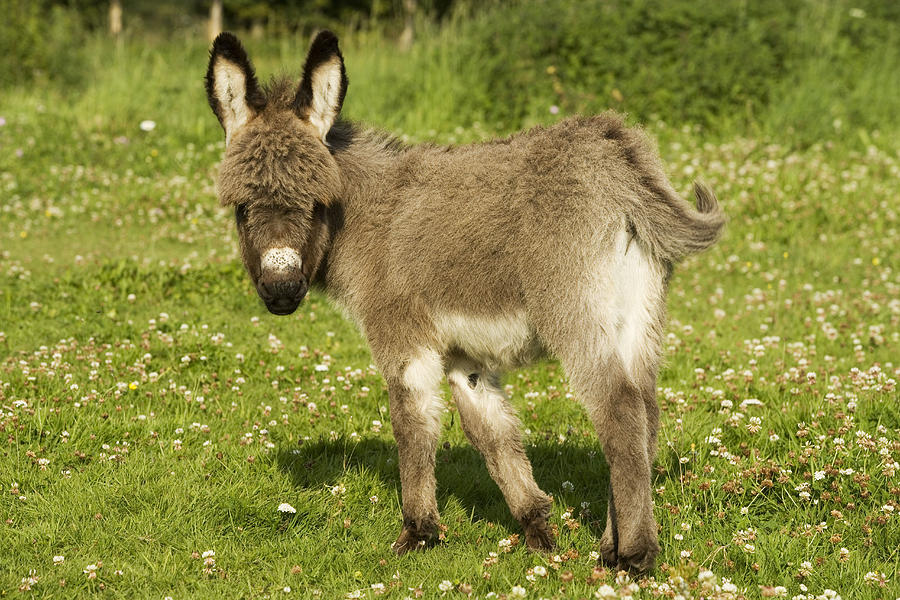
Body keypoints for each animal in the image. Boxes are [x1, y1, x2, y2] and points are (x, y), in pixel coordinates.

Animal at [204, 29, 724, 572]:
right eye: (241, 208)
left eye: (316, 203)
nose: (282, 291)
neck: (363, 220)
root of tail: (620, 164)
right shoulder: (463, 355)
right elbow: (491, 433)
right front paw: (537, 531)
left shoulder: (403, 338)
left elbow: (412, 425)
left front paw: (417, 534)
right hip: (637, 319)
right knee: (646, 412)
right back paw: (610, 546)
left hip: (575, 314)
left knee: (618, 409)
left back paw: (635, 556)